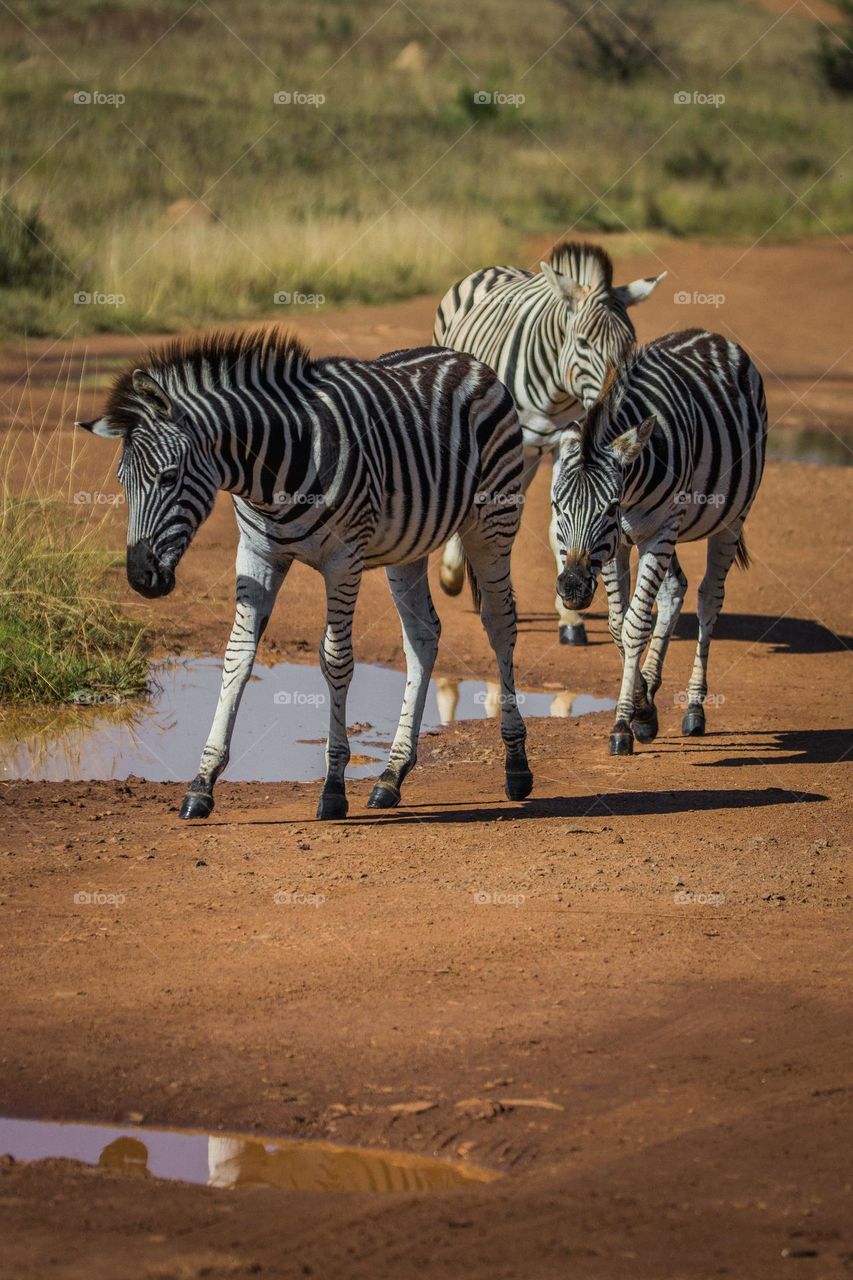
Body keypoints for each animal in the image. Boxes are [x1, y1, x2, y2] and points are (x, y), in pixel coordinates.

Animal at [76, 328, 533, 819]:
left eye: (167, 477)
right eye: (122, 482)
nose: (140, 577)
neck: (273, 469)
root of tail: (463, 358)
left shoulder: (343, 561)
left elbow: (335, 660)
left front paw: (333, 787)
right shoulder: (256, 555)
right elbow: (237, 655)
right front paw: (202, 783)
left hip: (492, 521)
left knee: (500, 624)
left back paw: (516, 767)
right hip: (408, 544)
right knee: (423, 636)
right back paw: (391, 776)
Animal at [433, 240, 666, 645]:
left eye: (629, 345)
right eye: (583, 342)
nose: (612, 404)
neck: (555, 389)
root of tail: (496, 268)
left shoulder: (563, 443)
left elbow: (558, 521)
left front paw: (569, 618)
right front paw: (460, 575)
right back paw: (454, 572)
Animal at [551, 328, 767, 755]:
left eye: (609, 507)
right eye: (556, 505)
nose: (572, 588)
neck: (632, 489)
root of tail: (711, 336)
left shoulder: (658, 529)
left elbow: (636, 624)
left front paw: (622, 724)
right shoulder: (619, 543)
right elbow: (618, 624)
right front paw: (643, 710)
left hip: (729, 519)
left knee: (708, 598)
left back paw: (695, 708)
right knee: (675, 588)